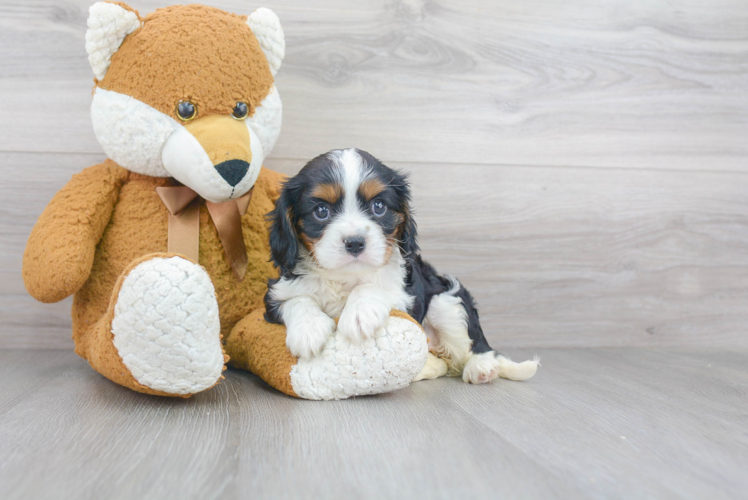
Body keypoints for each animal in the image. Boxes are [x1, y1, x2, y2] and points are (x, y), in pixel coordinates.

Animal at [262, 147, 536, 382]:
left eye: (379, 207)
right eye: (321, 211)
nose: (355, 242)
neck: (346, 276)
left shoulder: (406, 295)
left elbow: (373, 286)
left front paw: (359, 313)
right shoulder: (275, 294)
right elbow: (297, 299)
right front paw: (308, 329)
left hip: (445, 302)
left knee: (476, 343)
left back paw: (482, 367)